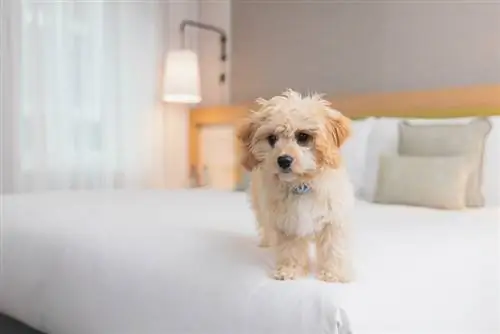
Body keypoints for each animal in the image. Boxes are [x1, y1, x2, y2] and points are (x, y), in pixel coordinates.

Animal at [236, 88, 354, 282]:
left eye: (303, 136)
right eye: (272, 138)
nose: (284, 160)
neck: (302, 184)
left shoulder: (333, 218)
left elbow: (333, 246)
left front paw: (334, 273)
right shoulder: (287, 222)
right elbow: (290, 249)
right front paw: (289, 270)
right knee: (266, 226)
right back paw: (267, 243)